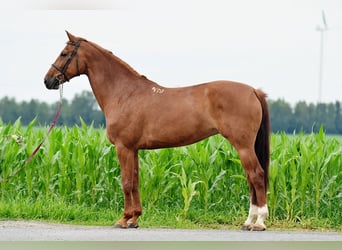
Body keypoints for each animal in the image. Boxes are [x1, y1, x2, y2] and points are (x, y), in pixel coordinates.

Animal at [44, 32, 270, 231]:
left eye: (64, 53)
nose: (48, 80)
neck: (124, 93)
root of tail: (253, 91)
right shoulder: (133, 149)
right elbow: (135, 182)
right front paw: (134, 219)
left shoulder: (123, 147)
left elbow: (126, 183)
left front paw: (123, 219)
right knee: (250, 179)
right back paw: (248, 222)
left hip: (243, 146)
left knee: (256, 176)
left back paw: (258, 222)